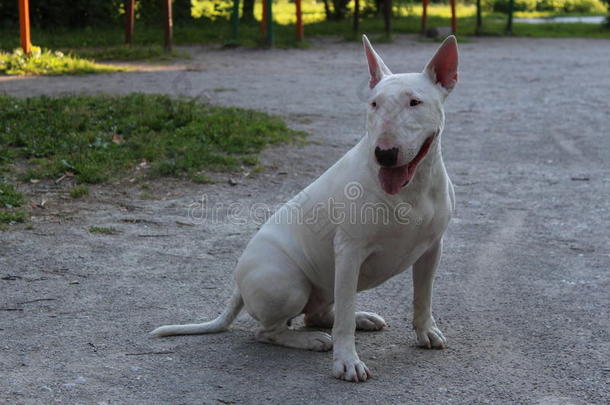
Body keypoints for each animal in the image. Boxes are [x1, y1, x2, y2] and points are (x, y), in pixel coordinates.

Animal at [152, 35, 456, 382]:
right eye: (373, 104)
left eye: (415, 102)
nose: (384, 154)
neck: (412, 188)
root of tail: (238, 285)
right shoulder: (349, 252)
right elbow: (344, 320)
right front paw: (347, 362)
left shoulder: (431, 249)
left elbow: (423, 296)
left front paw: (426, 332)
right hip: (289, 285)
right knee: (269, 331)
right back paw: (312, 340)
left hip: (322, 286)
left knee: (321, 313)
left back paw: (361, 318)